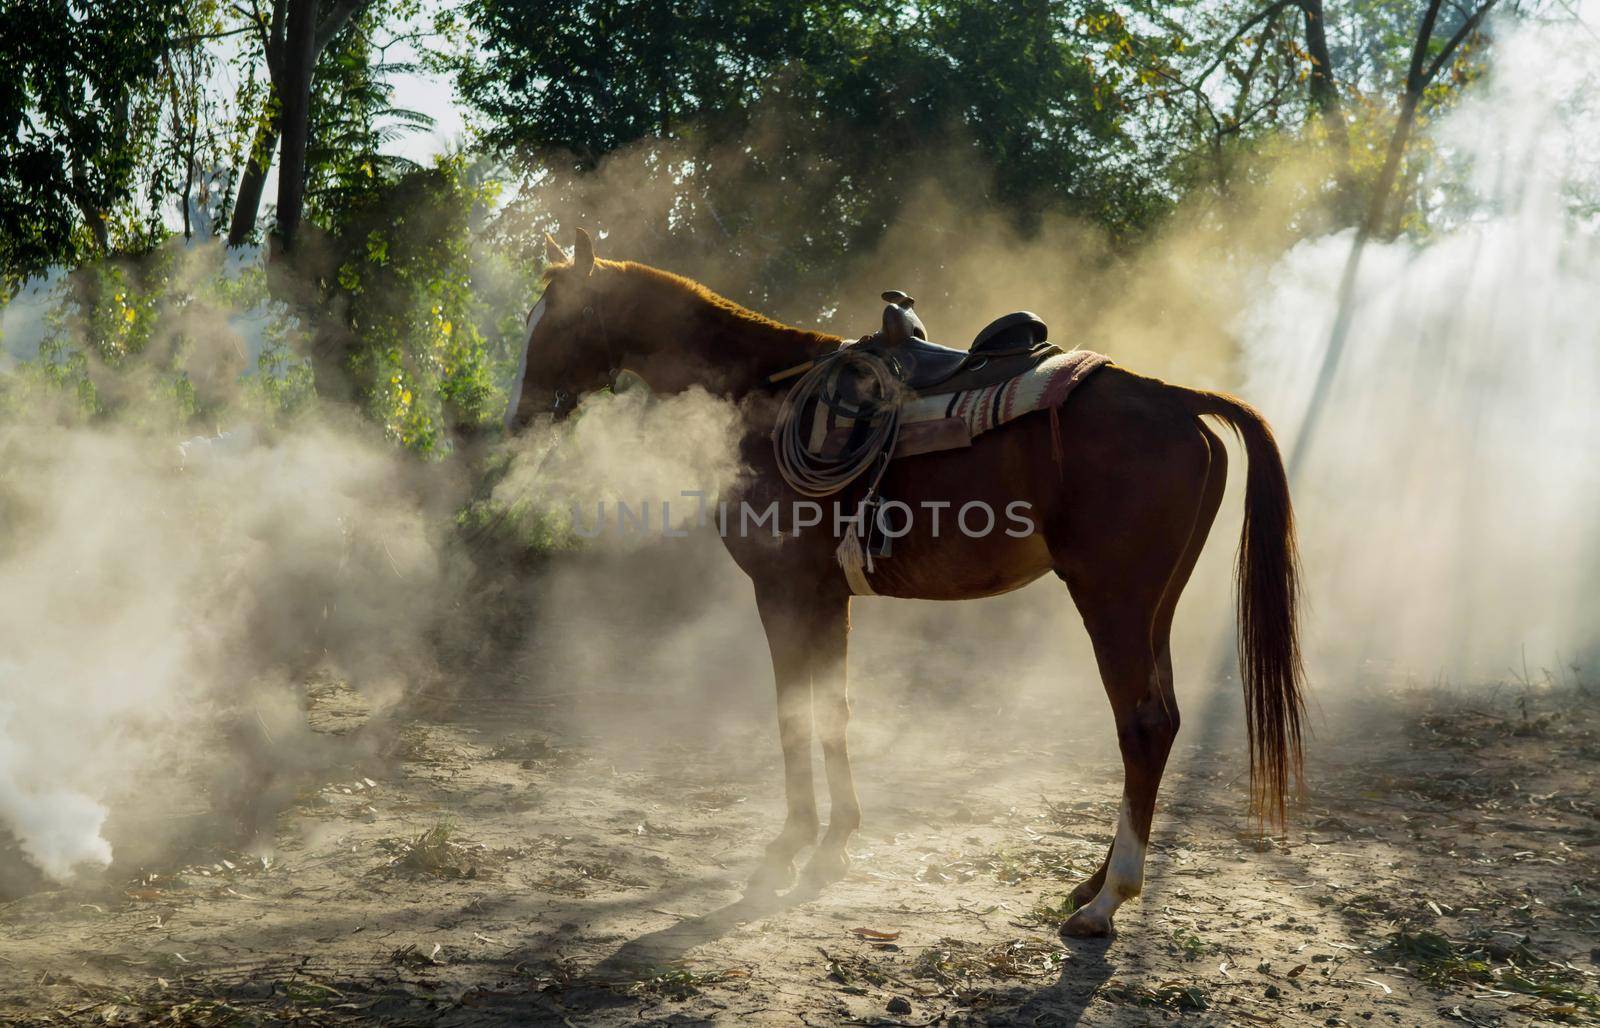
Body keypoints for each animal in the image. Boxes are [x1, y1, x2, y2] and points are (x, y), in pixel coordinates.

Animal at [512, 227, 1299, 935]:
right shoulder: (826, 596)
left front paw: (788, 849)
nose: (518, 419)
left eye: (559, 321)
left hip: (1114, 600)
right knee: (1160, 723)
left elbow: (795, 710)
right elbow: (833, 707)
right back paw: (1089, 884)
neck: (760, 396)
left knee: (1141, 723)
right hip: (1154, 605)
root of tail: (1175, 398)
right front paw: (833, 844)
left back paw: (1108, 902)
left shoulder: (783, 590)